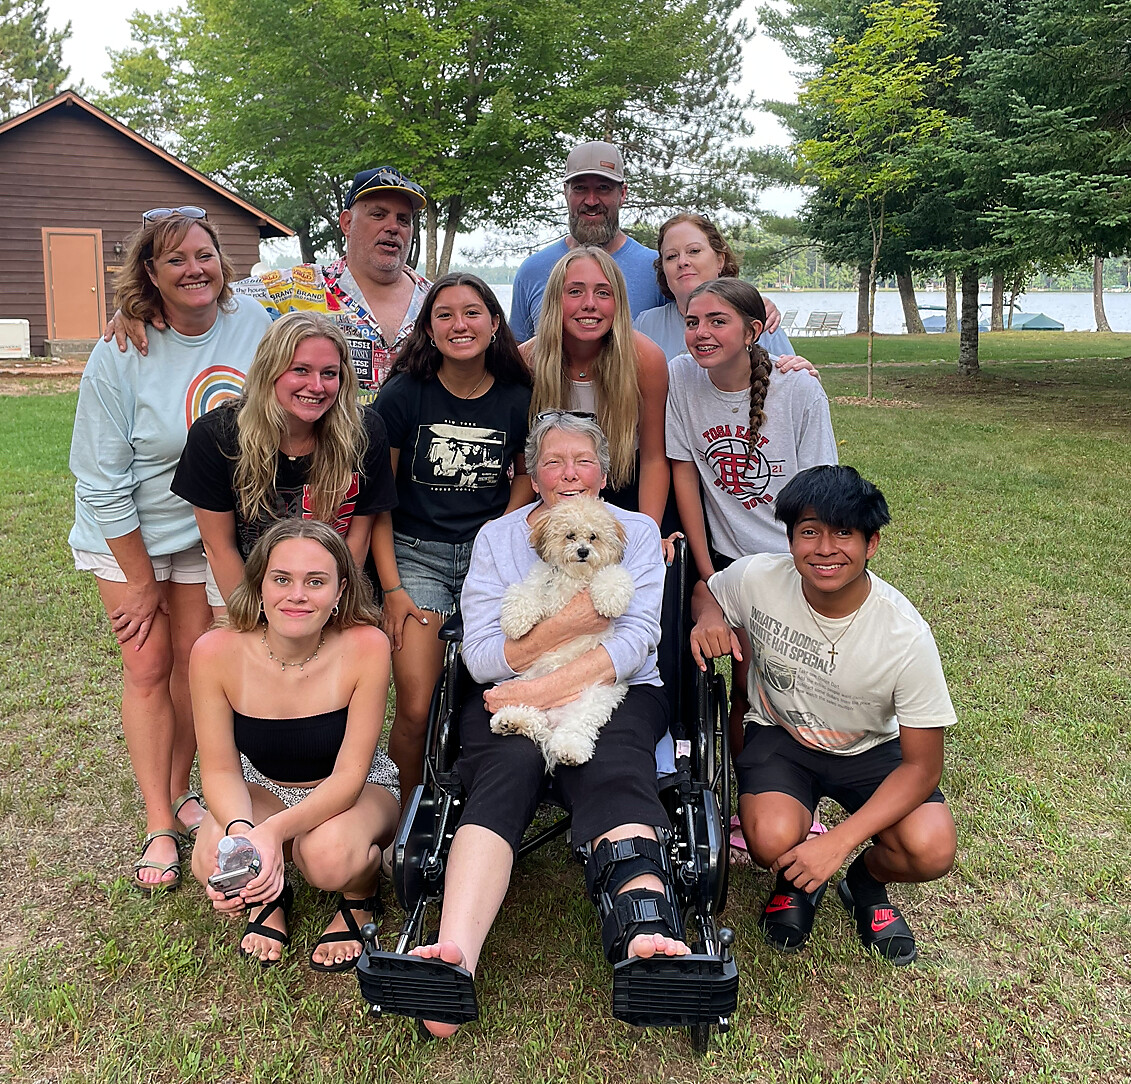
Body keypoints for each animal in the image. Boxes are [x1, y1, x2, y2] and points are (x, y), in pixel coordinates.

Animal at [490, 496, 635, 769]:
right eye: (570, 535)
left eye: (593, 536)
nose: (583, 551)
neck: (573, 578)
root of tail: (554, 718)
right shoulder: (538, 585)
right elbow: (521, 594)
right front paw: (515, 622)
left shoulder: (610, 573)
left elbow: (614, 575)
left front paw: (609, 599)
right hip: (528, 684)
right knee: (532, 714)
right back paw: (509, 720)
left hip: (593, 699)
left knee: (575, 728)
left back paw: (570, 749)